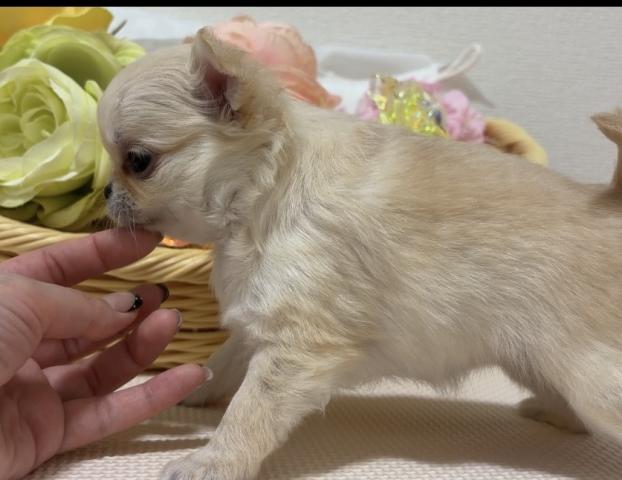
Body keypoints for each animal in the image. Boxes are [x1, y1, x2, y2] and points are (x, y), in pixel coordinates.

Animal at [98, 27, 622, 480]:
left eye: (138, 162)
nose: (104, 193)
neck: (266, 192)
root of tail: (608, 204)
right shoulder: (261, 316)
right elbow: (224, 363)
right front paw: (196, 388)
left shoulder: (298, 346)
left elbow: (248, 412)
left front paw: (213, 462)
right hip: (535, 361)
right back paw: (551, 413)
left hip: (590, 376)